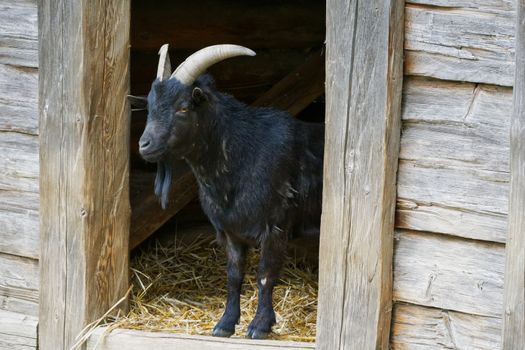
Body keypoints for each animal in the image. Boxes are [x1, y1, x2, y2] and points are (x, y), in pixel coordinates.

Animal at [137, 43, 322, 340]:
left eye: (183, 107)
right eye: (151, 107)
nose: (145, 144)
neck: (243, 154)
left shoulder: (276, 226)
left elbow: (265, 275)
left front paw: (259, 326)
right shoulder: (230, 231)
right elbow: (234, 275)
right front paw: (224, 324)